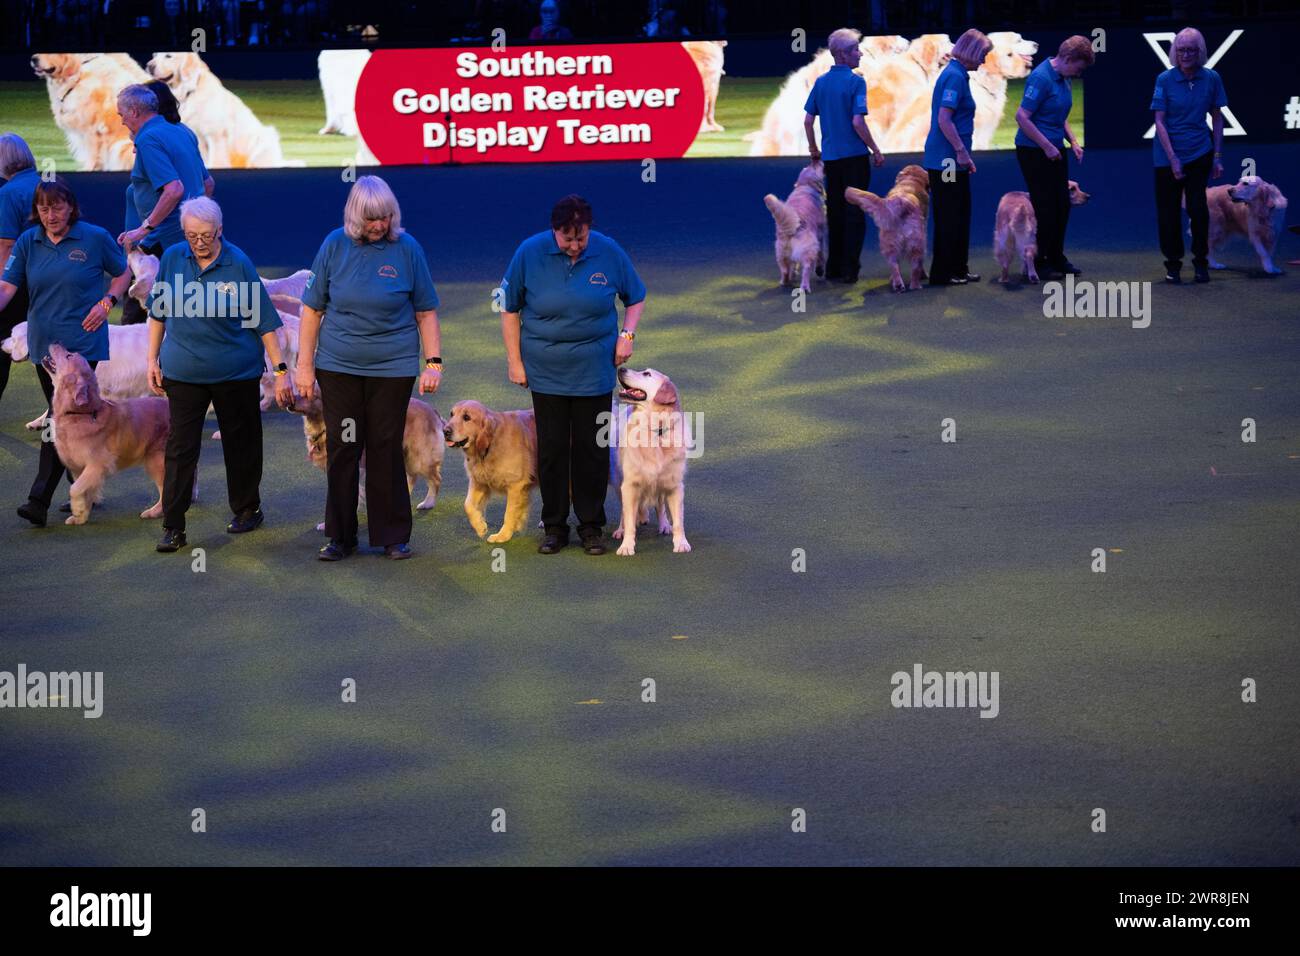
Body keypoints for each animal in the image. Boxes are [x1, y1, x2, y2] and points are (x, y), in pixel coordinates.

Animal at [43, 343, 169, 522]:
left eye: (68, 356)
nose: (55, 341)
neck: (79, 413)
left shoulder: (98, 465)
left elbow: (75, 489)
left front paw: (78, 509)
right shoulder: (78, 468)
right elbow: (83, 491)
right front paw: (80, 516)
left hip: (156, 459)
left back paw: (154, 511)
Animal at [441, 400, 533, 541]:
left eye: (466, 417)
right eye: (451, 414)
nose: (445, 431)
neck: (490, 443)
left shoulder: (516, 485)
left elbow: (509, 513)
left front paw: (503, 535)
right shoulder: (479, 480)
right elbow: (467, 505)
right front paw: (480, 526)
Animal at [611, 369, 691, 556]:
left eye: (646, 374)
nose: (621, 369)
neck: (656, 430)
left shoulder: (674, 485)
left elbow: (679, 521)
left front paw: (681, 543)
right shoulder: (629, 485)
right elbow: (629, 520)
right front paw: (626, 546)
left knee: (660, 505)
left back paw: (664, 525)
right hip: (618, 481)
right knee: (624, 511)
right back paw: (620, 530)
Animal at [764, 160, 826, 291]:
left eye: (810, 166)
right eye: (814, 167)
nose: (817, 160)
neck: (804, 186)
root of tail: (790, 230)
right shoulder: (821, 233)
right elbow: (821, 253)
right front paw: (820, 268)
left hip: (781, 252)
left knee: (785, 269)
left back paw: (785, 281)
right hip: (809, 248)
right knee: (806, 268)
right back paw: (805, 287)